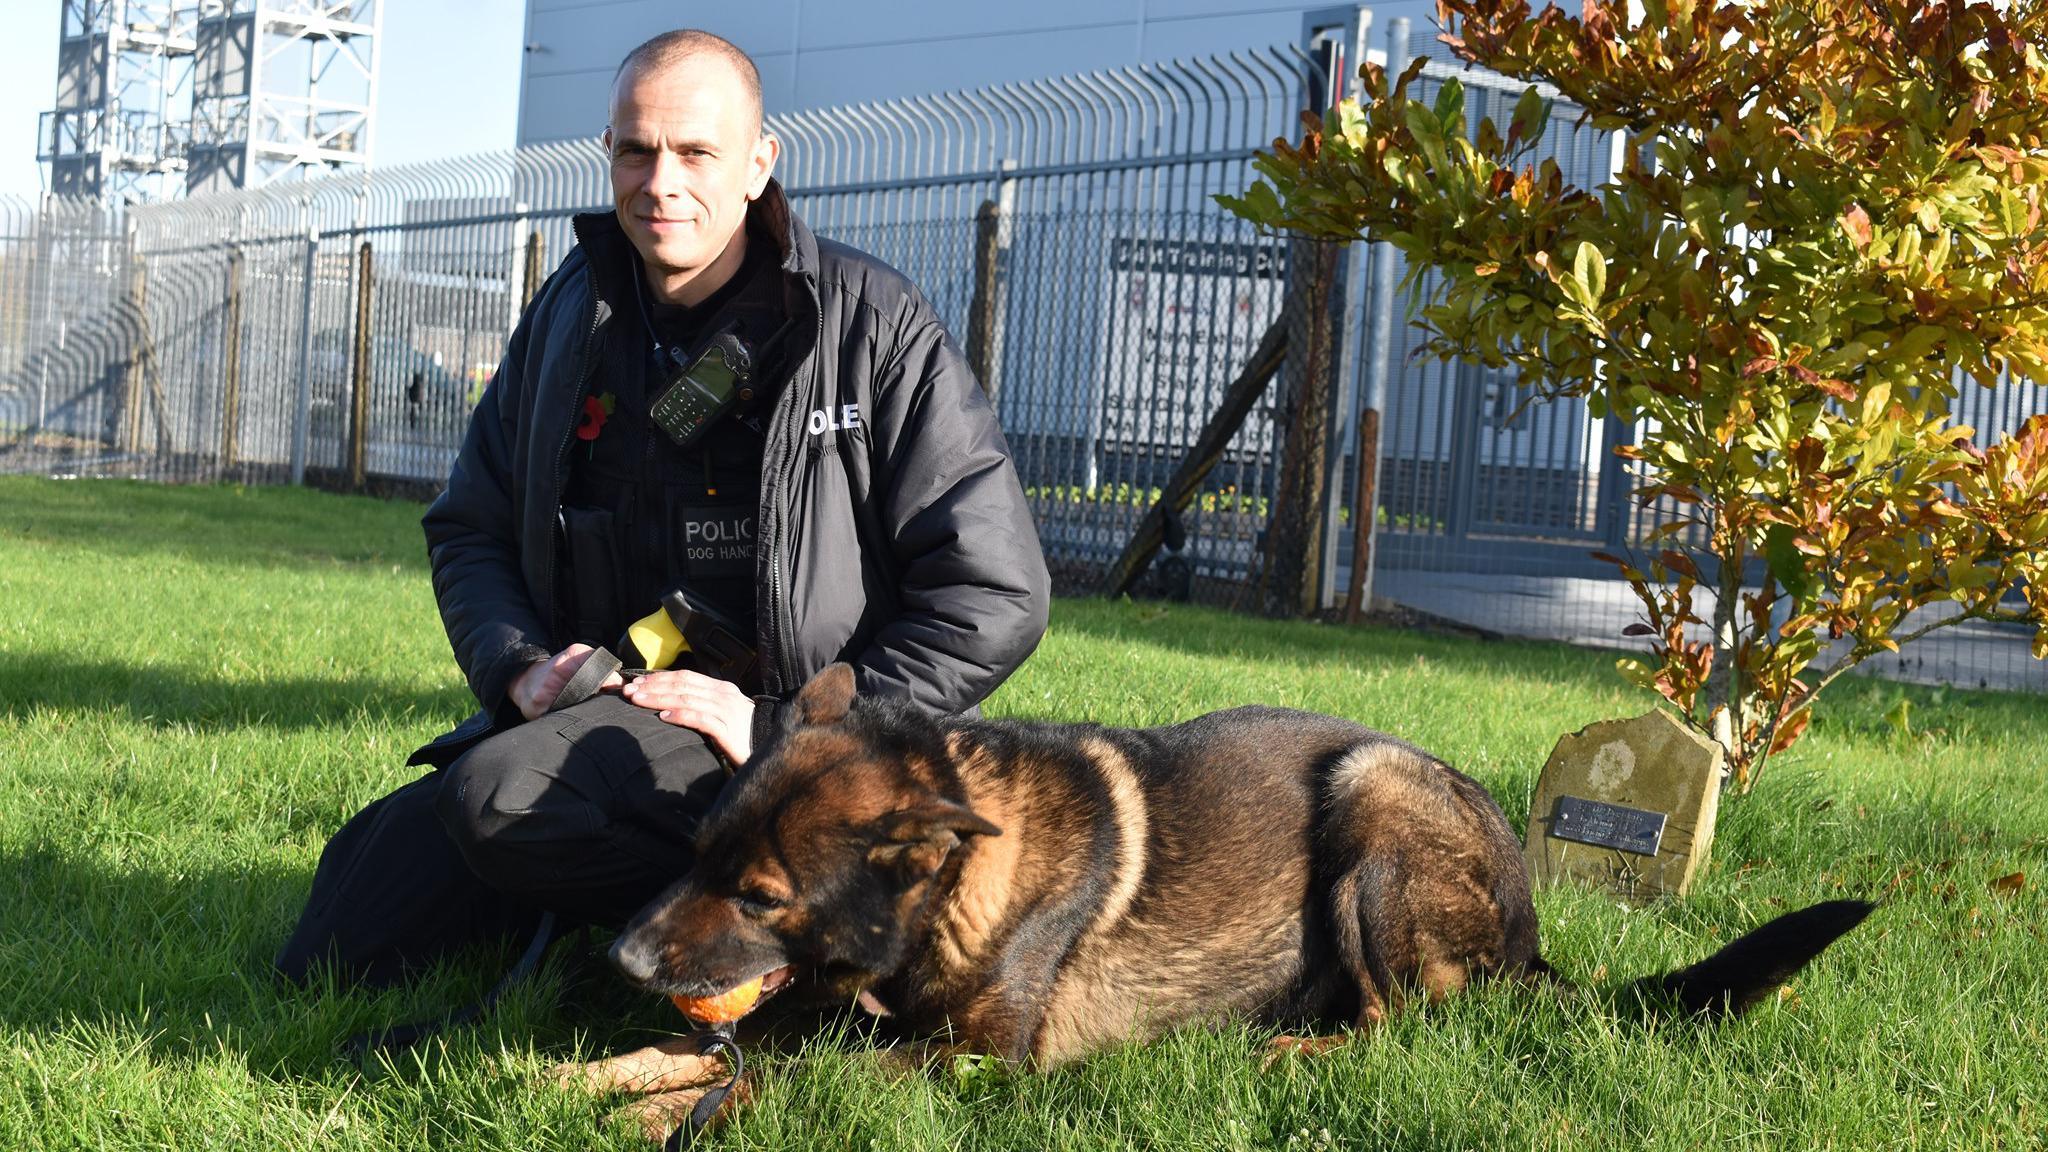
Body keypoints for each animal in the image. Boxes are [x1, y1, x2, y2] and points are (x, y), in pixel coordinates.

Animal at [577, 664, 1875, 1123]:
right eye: (697, 855)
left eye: (760, 895)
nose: (621, 960)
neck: (951, 891)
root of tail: (1527, 934)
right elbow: (710, 1054)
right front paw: (589, 1075)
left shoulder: (972, 1061)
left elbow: (787, 1077)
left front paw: (646, 1116)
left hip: (1371, 801)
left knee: (1406, 1020)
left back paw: (1289, 1050)